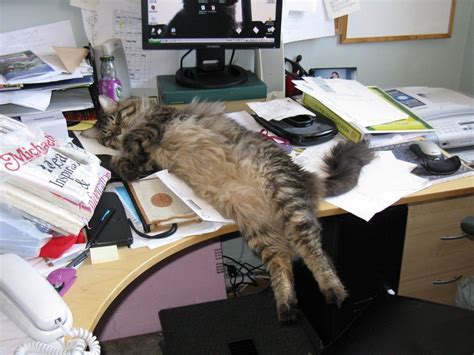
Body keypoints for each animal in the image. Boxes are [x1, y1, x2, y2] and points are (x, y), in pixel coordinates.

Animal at [84, 96, 374, 324]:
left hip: (285, 197)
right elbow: (124, 163)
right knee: (282, 259)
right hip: (256, 227)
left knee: (314, 251)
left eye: (118, 118)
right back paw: (287, 308)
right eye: (107, 134)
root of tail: (305, 176)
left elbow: (127, 151)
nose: (117, 133)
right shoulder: (147, 163)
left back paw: (333, 291)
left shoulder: (150, 130)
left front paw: (108, 157)